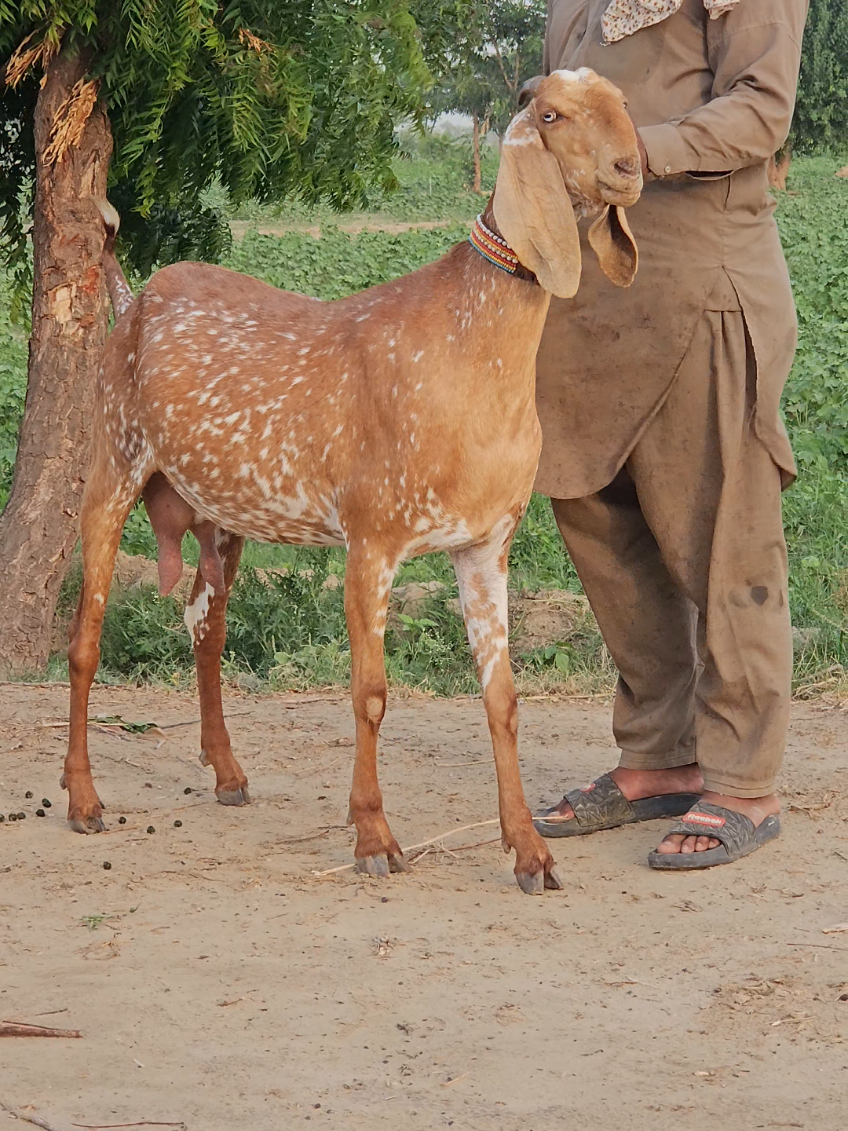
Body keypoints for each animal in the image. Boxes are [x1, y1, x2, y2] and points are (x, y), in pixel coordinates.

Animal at [64, 68, 641, 894]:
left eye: (623, 104)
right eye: (556, 115)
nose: (631, 167)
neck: (470, 349)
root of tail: (130, 299)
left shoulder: (486, 544)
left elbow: (502, 698)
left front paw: (529, 849)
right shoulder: (372, 539)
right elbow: (370, 693)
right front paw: (373, 835)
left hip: (220, 515)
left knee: (206, 627)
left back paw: (227, 772)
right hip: (112, 464)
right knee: (86, 640)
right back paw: (82, 797)